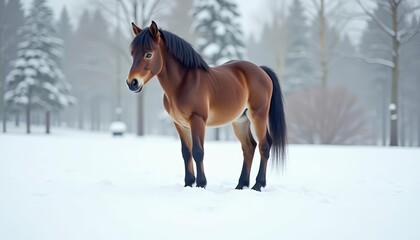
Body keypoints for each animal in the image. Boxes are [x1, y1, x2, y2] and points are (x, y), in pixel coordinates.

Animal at [127, 20, 286, 191]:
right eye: (132, 54)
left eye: (149, 54)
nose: (132, 83)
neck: (183, 84)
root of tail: (261, 70)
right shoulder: (179, 124)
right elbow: (186, 152)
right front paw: (188, 183)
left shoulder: (197, 120)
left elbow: (198, 151)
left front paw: (201, 184)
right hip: (240, 121)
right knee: (249, 147)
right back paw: (241, 184)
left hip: (258, 116)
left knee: (264, 145)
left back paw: (258, 184)